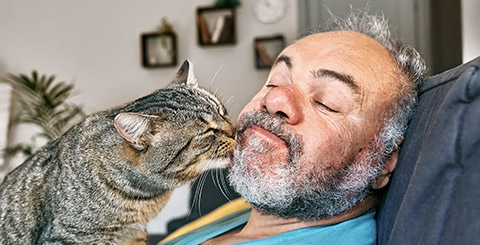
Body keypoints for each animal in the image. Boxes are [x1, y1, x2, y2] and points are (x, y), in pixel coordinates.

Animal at [0, 60, 236, 244]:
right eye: (207, 131)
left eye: (222, 112)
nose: (235, 131)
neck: (144, 197)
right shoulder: (66, 236)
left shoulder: (135, 234)